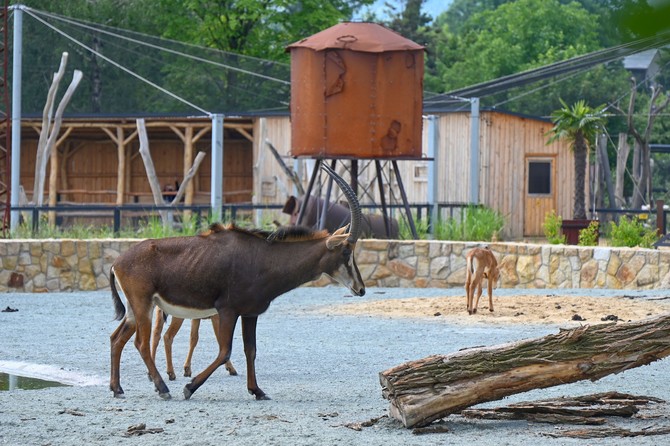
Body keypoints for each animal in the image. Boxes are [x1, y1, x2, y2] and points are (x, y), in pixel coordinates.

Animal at [109, 164, 368, 400]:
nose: (361, 289)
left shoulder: (250, 313)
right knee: (141, 344)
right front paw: (189, 387)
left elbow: (250, 350)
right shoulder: (227, 310)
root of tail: (117, 262)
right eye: (346, 251)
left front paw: (257, 390)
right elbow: (225, 351)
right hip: (143, 305)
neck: (264, 258)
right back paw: (162, 388)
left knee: (117, 338)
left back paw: (117, 388)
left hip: (134, 309)